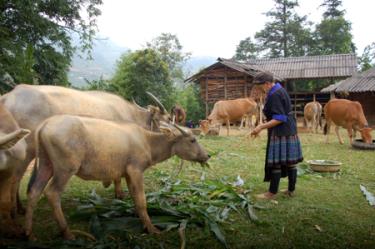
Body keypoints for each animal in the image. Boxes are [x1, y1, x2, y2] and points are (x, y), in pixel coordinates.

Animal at [0, 84, 170, 214]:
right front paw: (119, 194)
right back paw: (16, 210)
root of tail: (9, 96)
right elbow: (117, 176)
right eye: (167, 119)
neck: (130, 113)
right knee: (15, 179)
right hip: (26, 152)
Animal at [25, 116, 210, 239]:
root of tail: (44, 124)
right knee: (52, 193)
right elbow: (141, 200)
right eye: (192, 140)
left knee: (34, 192)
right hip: (65, 169)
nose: (207, 155)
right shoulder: (136, 170)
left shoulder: (127, 173)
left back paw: (28, 232)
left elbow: (134, 199)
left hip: (46, 165)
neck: (147, 142)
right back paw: (67, 232)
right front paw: (151, 228)